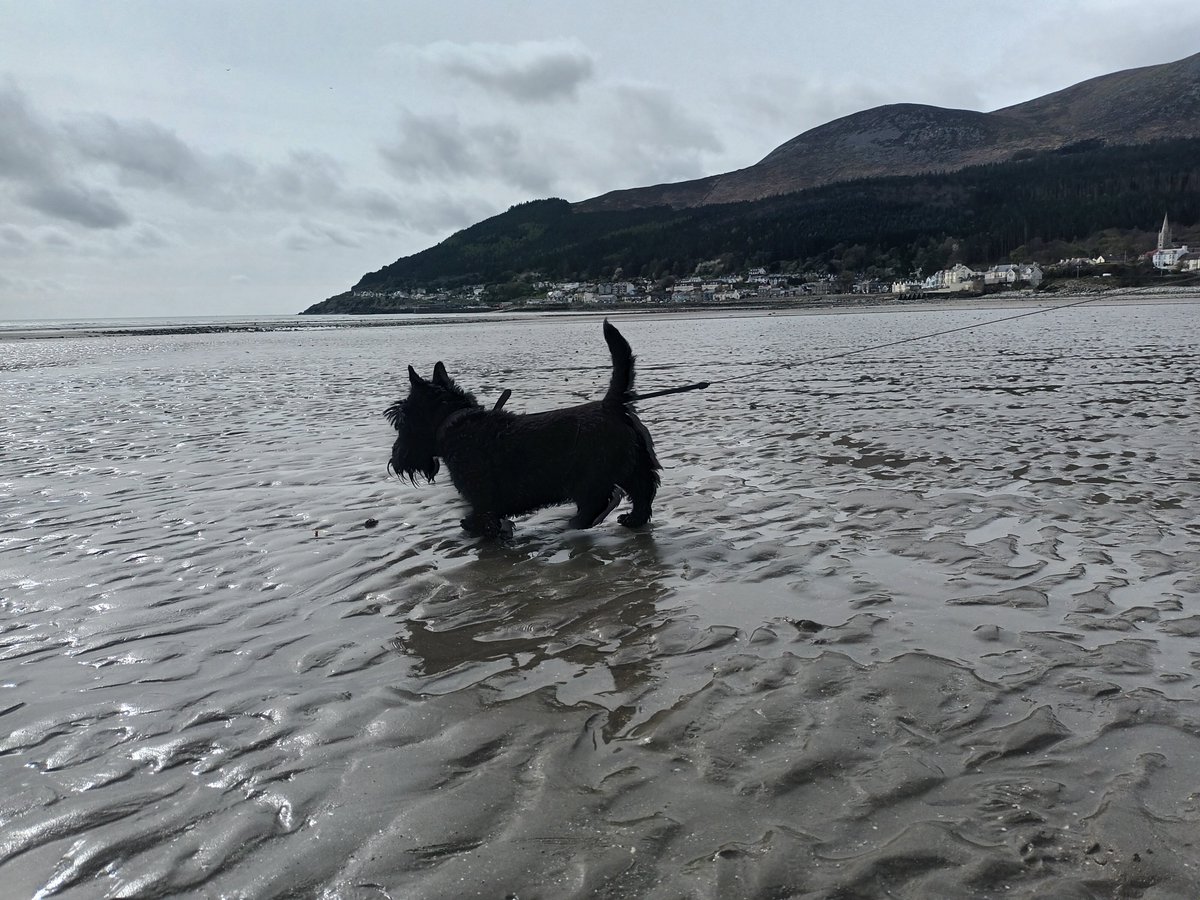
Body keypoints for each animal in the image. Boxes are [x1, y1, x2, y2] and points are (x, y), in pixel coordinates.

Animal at [388, 321, 662, 540]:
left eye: (399, 421)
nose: (395, 460)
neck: (455, 423)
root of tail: (611, 405)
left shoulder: (481, 498)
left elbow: (483, 518)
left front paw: (478, 530)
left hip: (590, 475)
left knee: (599, 499)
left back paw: (575, 523)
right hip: (636, 465)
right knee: (643, 491)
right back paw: (632, 520)